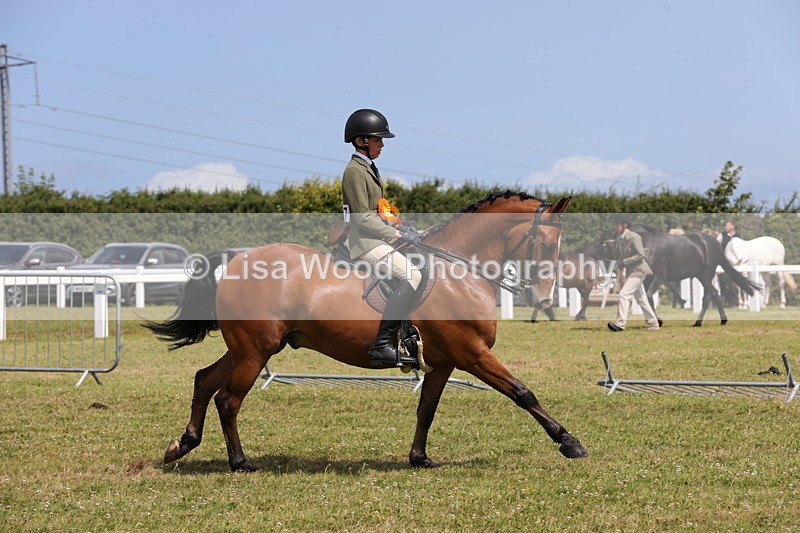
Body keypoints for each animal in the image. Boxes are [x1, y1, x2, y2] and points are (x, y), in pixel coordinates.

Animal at [144, 192, 587, 472]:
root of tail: (238, 259)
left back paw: (181, 445)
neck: (458, 270)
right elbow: (522, 392)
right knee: (229, 399)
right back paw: (239, 462)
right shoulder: (472, 353)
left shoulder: (443, 362)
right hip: (256, 351)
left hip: (249, 349)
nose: (543, 298)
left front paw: (419, 458)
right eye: (545, 244)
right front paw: (569, 442)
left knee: (204, 380)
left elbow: (426, 409)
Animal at [603, 223, 760, 327]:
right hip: (701, 276)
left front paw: (658, 320)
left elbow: (649, 296)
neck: (649, 246)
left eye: (611, 242)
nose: (607, 258)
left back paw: (698, 322)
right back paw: (723, 319)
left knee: (708, 296)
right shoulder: (648, 279)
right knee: (715, 294)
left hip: (706, 275)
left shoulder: (659, 277)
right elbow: (646, 299)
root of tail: (715, 244)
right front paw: (654, 320)